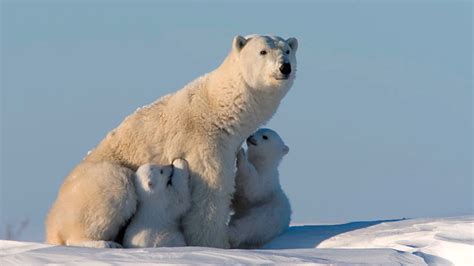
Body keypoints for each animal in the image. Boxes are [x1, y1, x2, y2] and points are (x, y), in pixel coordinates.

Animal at [44, 34, 296, 248]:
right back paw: (102, 242)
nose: (285, 67)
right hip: (89, 183)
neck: (218, 108)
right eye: (263, 51)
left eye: (287, 50)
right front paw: (213, 245)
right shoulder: (203, 142)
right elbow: (208, 194)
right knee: (114, 183)